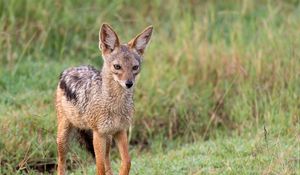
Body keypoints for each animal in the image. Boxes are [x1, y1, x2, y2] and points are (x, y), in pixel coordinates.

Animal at [54, 23, 152, 175]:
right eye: (117, 66)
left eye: (135, 67)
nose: (129, 83)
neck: (116, 105)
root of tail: (69, 70)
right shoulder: (98, 134)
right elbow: (99, 167)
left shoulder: (120, 131)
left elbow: (126, 162)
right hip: (64, 138)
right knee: (61, 164)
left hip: (108, 138)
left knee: (107, 161)